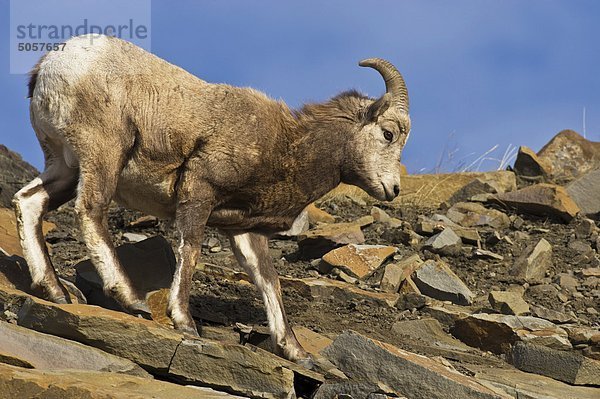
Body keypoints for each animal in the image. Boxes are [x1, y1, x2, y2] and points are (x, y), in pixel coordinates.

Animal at [14, 33, 410, 366]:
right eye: (388, 134)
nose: (392, 189)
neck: (288, 148)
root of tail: (51, 64)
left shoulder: (243, 231)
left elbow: (269, 281)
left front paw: (296, 352)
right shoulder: (199, 190)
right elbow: (189, 250)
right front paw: (185, 322)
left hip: (64, 168)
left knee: (28, 202)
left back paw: (55, 291)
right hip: (104, 155)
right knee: (91, 211)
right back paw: (131, 299)